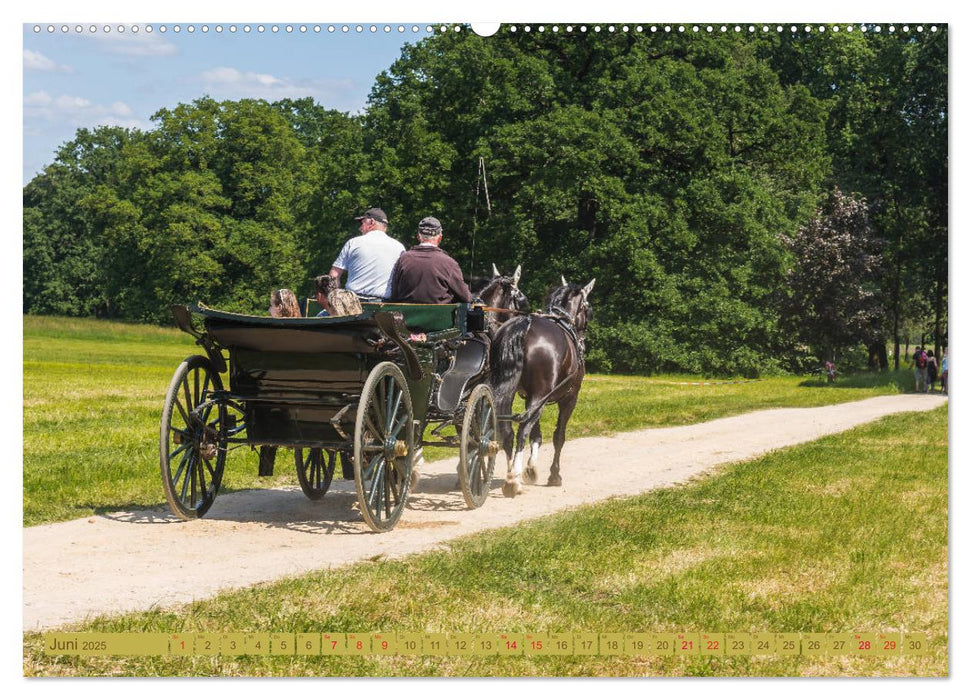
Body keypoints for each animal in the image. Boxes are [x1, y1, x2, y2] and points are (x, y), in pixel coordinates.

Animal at [494, 276, 592, 494]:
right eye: (588, 308)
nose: (582, 340)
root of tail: (525, 323)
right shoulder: (569, 398)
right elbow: (558, 436)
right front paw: (554, 475)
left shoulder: (529, 397)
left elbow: (536, 435)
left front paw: (531, 470)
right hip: (542, 394)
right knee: (522, 428)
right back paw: (513, 480)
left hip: (510, 390)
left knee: (506, 428)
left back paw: (511, 472)